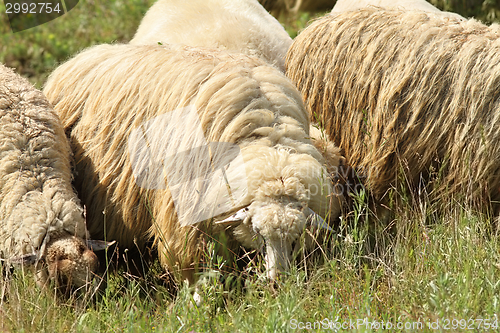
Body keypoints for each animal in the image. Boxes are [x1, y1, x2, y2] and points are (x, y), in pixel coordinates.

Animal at [43, 42, 344, 284]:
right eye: (257, 231)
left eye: (296, 236)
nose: (277, 282)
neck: (266, 140)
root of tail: (82, 55)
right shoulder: (184, 210)